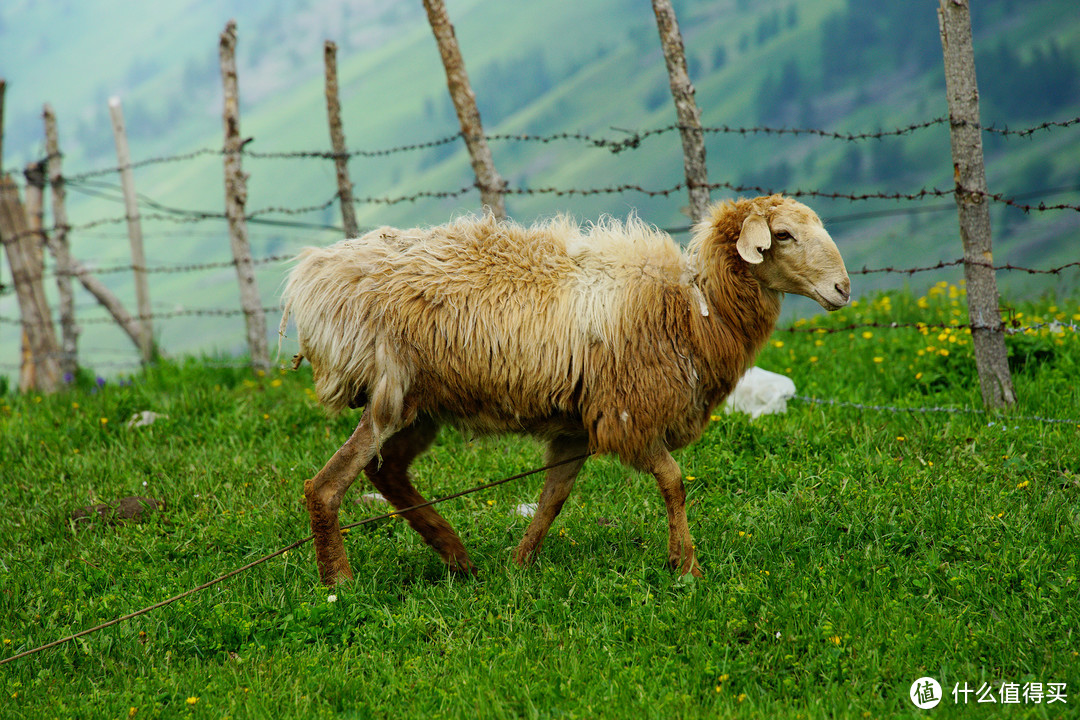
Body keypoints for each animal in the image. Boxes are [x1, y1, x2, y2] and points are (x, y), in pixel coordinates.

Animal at [280, 195, 851, 587]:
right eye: (784, 234)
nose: (844, 289)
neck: (694, 306)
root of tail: (312, 279)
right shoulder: (628, 416)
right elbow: (673, 482)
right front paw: (684, 564)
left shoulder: (579, 429)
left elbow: (552, 498)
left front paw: (520, 565)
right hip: (390, 394)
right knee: (326, 486)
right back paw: (340, 582)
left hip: (423, 407)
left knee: (388, 472)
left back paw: (457, 557)